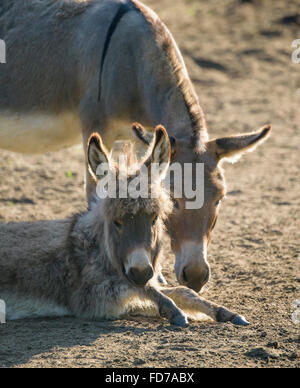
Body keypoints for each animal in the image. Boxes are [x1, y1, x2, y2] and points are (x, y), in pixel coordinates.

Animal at [0, 126, 248, 326]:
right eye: (116, 221)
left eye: (154, 218)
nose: (141, 271)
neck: (92, 248)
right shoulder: (92, 296)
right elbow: (141, 288)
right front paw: (174, 311)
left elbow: (182, 290)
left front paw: (224, 312)